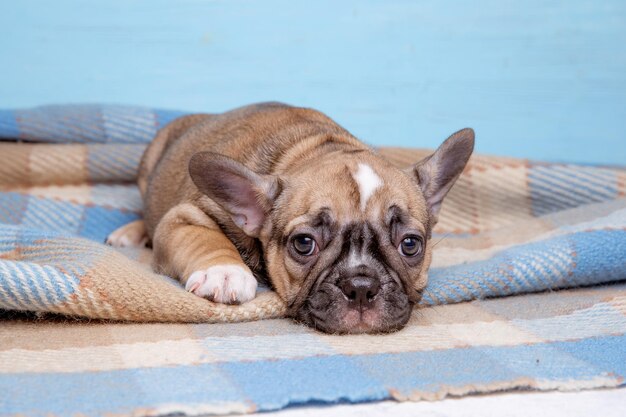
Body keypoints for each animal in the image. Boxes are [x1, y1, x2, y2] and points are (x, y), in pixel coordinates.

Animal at [107, 102, 470, 334]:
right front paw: (224, 273)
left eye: (410, 244)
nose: (361, 287)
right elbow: (204, 236)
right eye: (304, 244)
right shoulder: (185, 216)